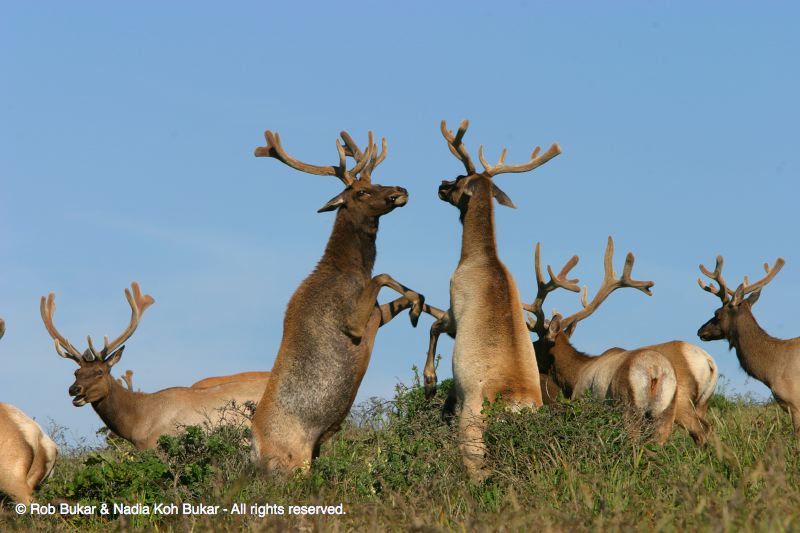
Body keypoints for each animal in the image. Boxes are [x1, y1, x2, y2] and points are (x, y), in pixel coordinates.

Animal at [250, 128, 435, 473]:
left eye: (377, 181)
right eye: (361, 191)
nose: (400, 189)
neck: (348, 269)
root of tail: (254, 448)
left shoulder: (376, 315)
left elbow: (408, 295)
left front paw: (420, 308)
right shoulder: (352, 322)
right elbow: (383, 276)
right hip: (292, 461)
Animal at [421, 119, 560, 479]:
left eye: (460, 178)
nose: (440, 185)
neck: (477, 259)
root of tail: (516, 410)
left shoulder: (455, 303)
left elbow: (433, 326)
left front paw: (430, 384)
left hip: (473, 431)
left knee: (477, 472)